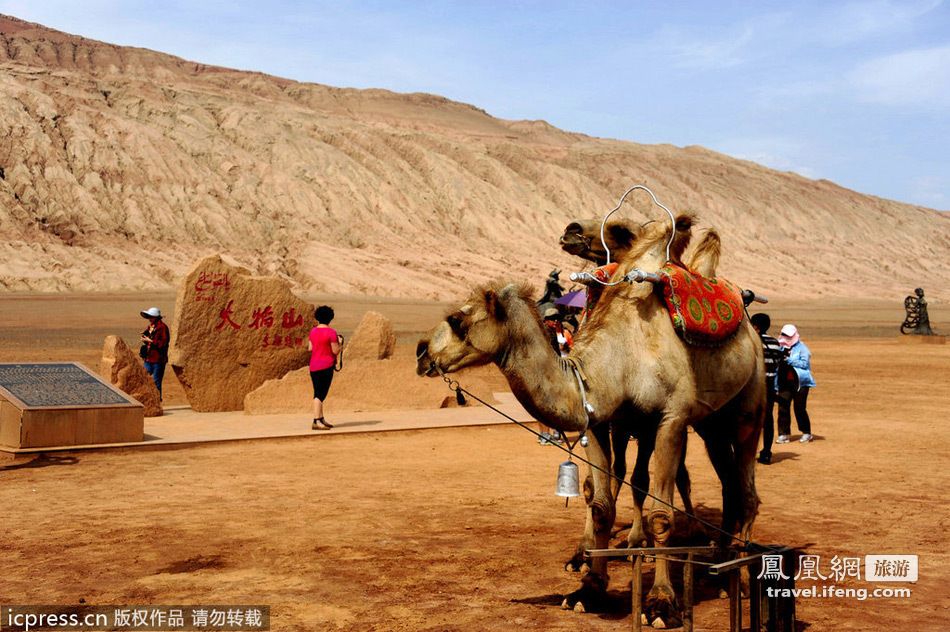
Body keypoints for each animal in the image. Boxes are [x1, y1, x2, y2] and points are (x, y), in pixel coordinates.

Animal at [416, 217, 768, 628]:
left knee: (746, 490)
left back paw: (736, 580)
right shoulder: (602, 420)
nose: (421, 352)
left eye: (458, 320)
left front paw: (661, 603)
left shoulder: (670, 419)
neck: (621, 354)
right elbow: (601, 505)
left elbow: (661, 515)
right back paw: (719, 566)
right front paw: (589, 590)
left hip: (750, 406)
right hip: (713, 422)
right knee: (729, 487)